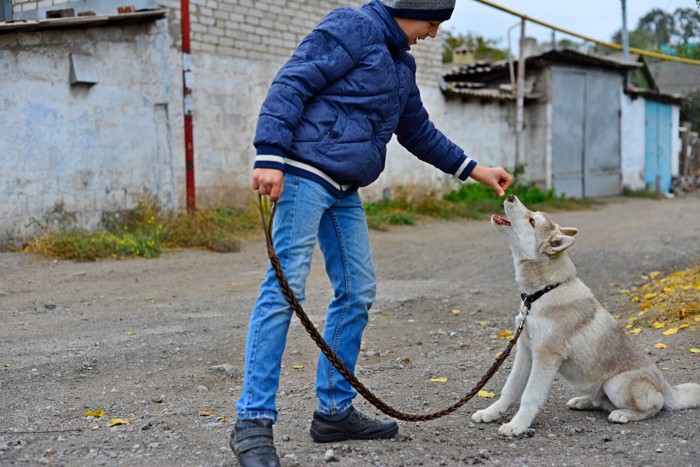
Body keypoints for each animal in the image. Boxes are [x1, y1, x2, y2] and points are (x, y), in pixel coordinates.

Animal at [470, 196, 700, 436]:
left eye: (532, 221)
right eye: (534, 213)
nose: (510, 197)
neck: (542, 293)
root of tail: (667, 387)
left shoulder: (545, 356)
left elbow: (529, 395)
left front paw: (517, 425)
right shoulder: (525, 351)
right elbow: (510, 389)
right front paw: (490, 413)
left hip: (616, 384)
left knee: (654, 406)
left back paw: (623, 414)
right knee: (603, 402)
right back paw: (582, 401)